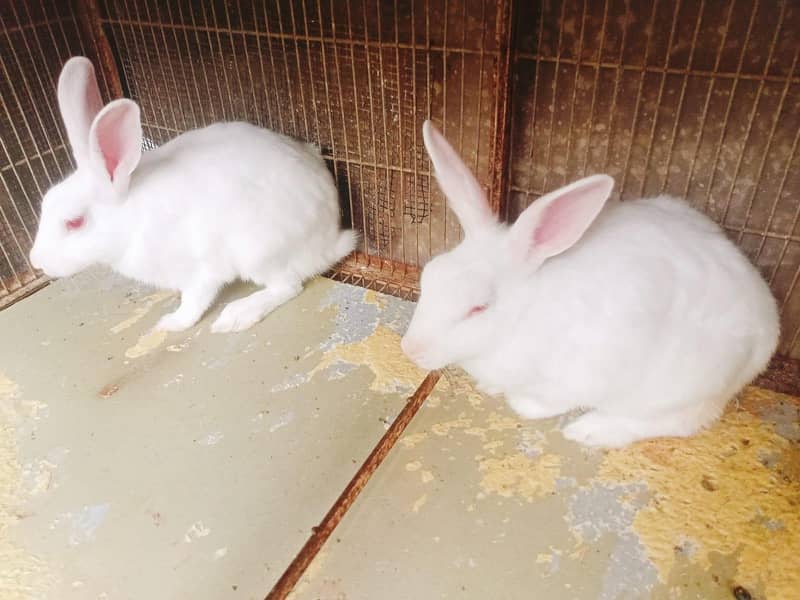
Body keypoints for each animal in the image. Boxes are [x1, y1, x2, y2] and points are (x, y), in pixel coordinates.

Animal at [29, 56, 356, 333]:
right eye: (44, 202)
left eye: (74, 222)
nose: (36, 262)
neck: (131, 218)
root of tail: (331, 238)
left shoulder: (200, 270)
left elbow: (194, 301)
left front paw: (170, 323)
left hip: (260, 251)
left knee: (287, 286)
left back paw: (236, 316)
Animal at [401, 121, 780, 448]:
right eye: (428, 276)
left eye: (478, 307)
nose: (410, 349)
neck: (522, 314)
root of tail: (768, 327)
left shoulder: (576, 376)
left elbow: (540, 402)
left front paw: (518, 400)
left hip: (681, 385)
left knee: (679, 421)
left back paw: (589, 430)